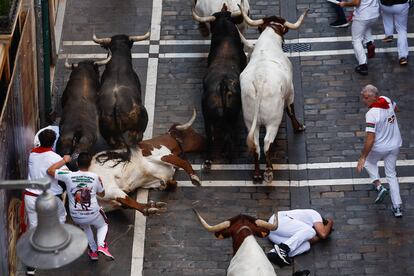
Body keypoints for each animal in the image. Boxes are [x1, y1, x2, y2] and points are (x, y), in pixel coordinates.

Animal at [238, 3, 308, 183]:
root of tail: (259, 79)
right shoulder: (291, 91)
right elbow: (291, 110)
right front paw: (299, 127)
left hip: (250, 121)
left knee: (256, 145)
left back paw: (257, 173)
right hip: (273, 121)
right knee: (267, 143)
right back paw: (268, 171)